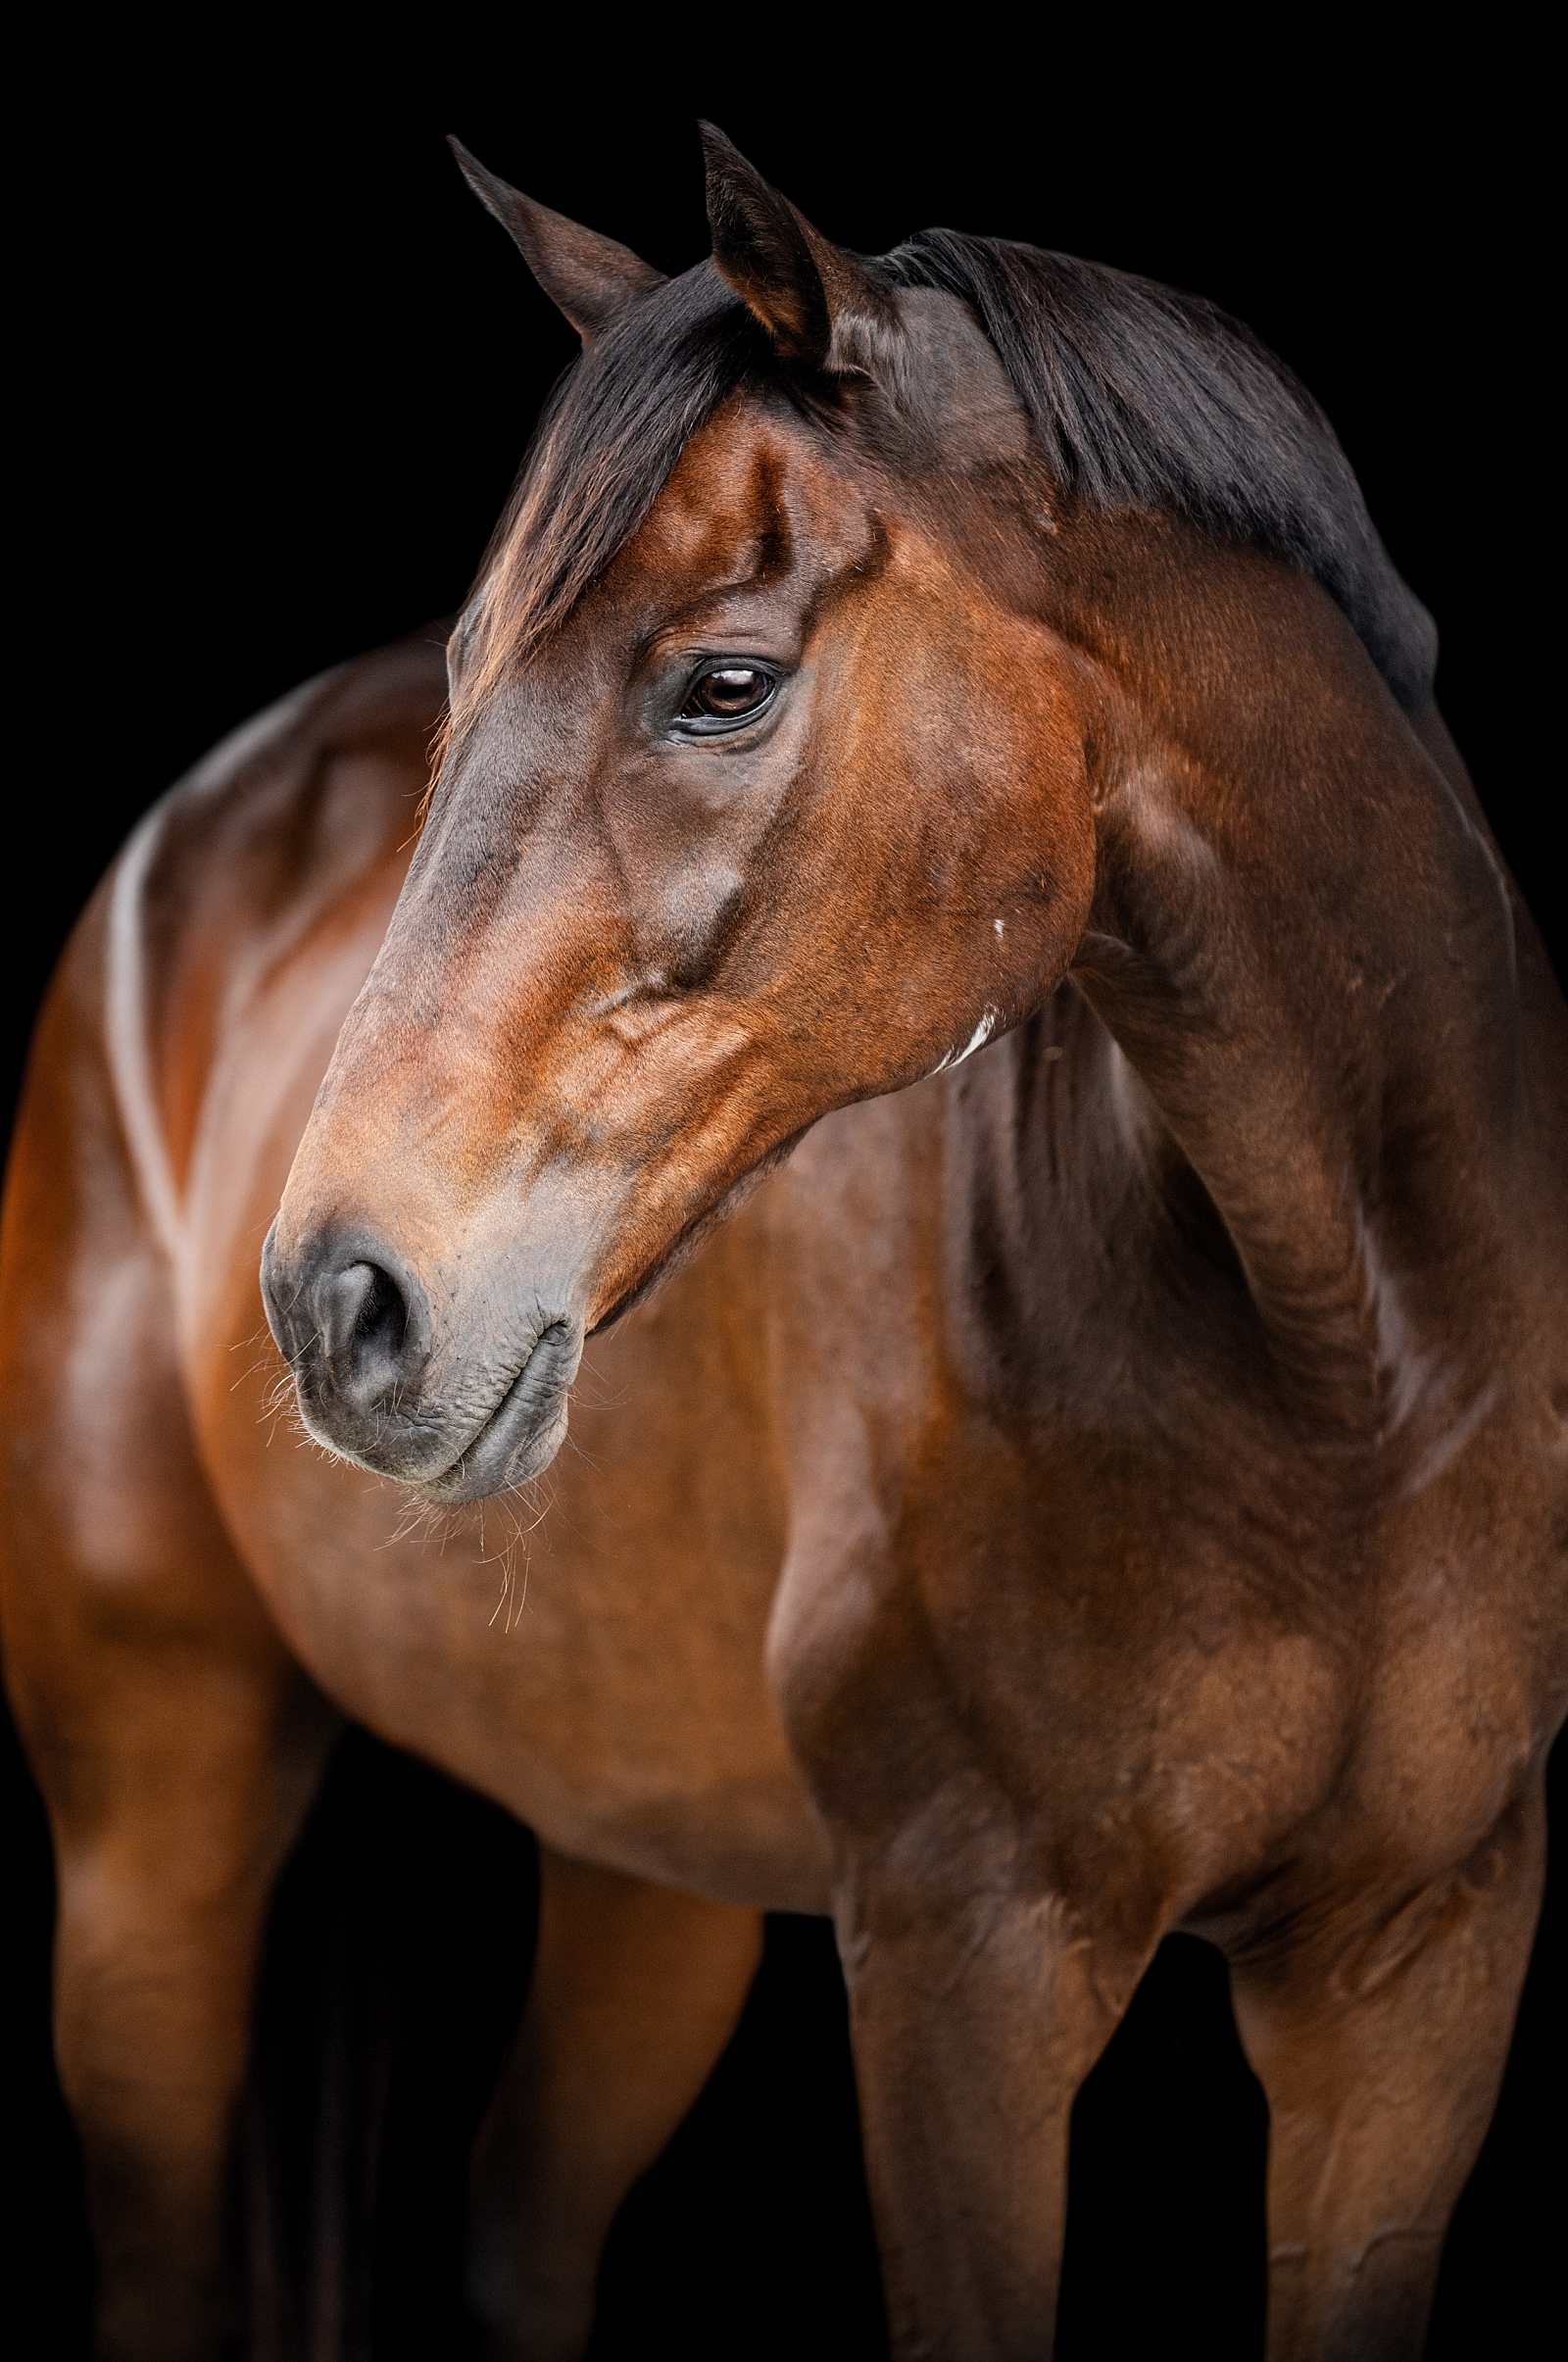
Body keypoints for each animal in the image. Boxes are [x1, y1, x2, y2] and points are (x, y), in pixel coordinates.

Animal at [0, 133, 1558, 2362]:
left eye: (722, 681)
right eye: (468, 677)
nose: (333, 1303)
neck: (1350, 1369)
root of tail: (187, 840)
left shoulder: (1415, 1977)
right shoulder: (961, 1970)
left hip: (635, 1862)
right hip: (151, 1819)